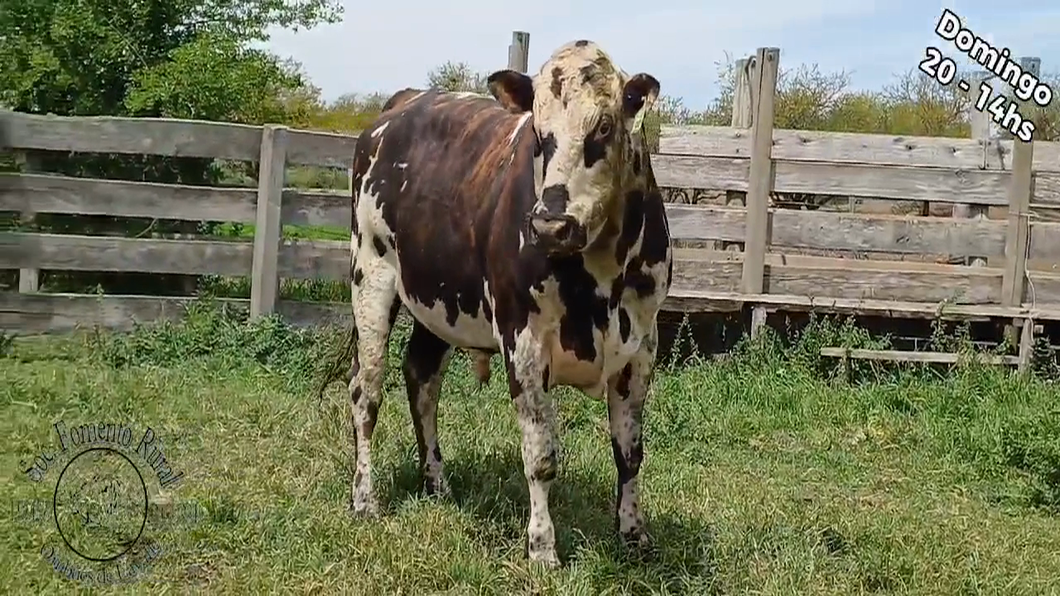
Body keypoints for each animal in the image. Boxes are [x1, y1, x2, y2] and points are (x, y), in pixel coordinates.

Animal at [341, 39, 669, 564]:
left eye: (603, 126)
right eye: (537, 130)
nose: (551, 224)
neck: (600, 278)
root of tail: (402, 103)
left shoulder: (642, 347)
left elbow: (630, 452)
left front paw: (633, 533)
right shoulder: (524, 341)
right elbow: (540, 456)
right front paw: (542, 547)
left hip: (437, 304)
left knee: (422, 379)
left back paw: (436, 483)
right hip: (370, 277)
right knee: (366, 391)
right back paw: (365, 498)